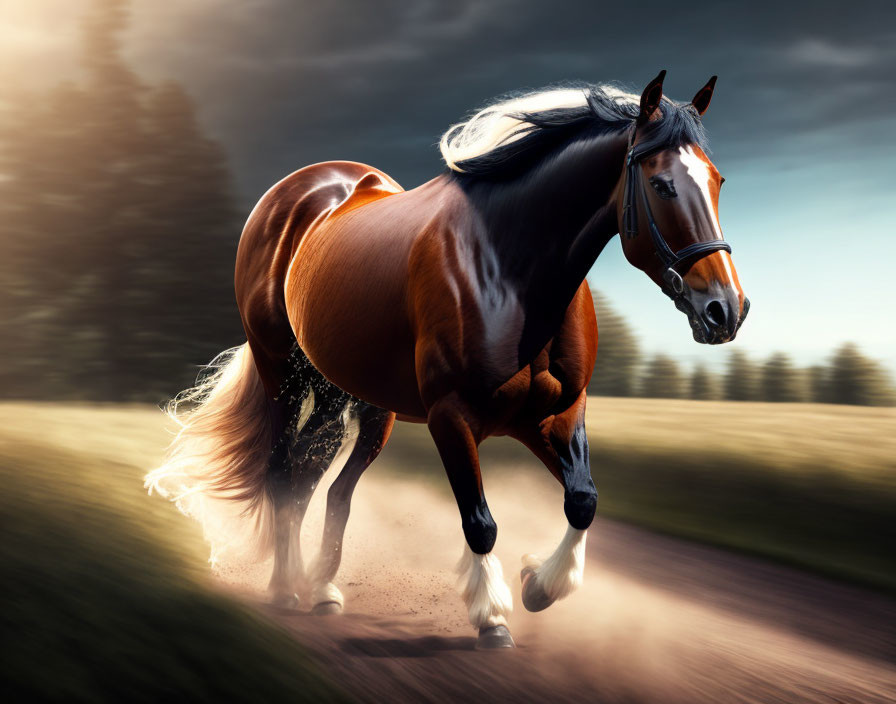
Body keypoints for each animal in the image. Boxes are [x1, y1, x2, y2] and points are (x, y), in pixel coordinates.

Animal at [149, 70, 748, 648]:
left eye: (717, 181)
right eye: (661, 184)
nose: (725, 309)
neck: (510, 270)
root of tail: (295, 190)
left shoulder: (554, 414)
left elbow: (583, 501)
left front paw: (537, 585)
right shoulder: (451, 417)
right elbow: (479, 521)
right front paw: (493, 617)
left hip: (358, 400)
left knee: (321, 481)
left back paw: (318, 588)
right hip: (282, 373)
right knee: (281, 472)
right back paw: (282, 589)